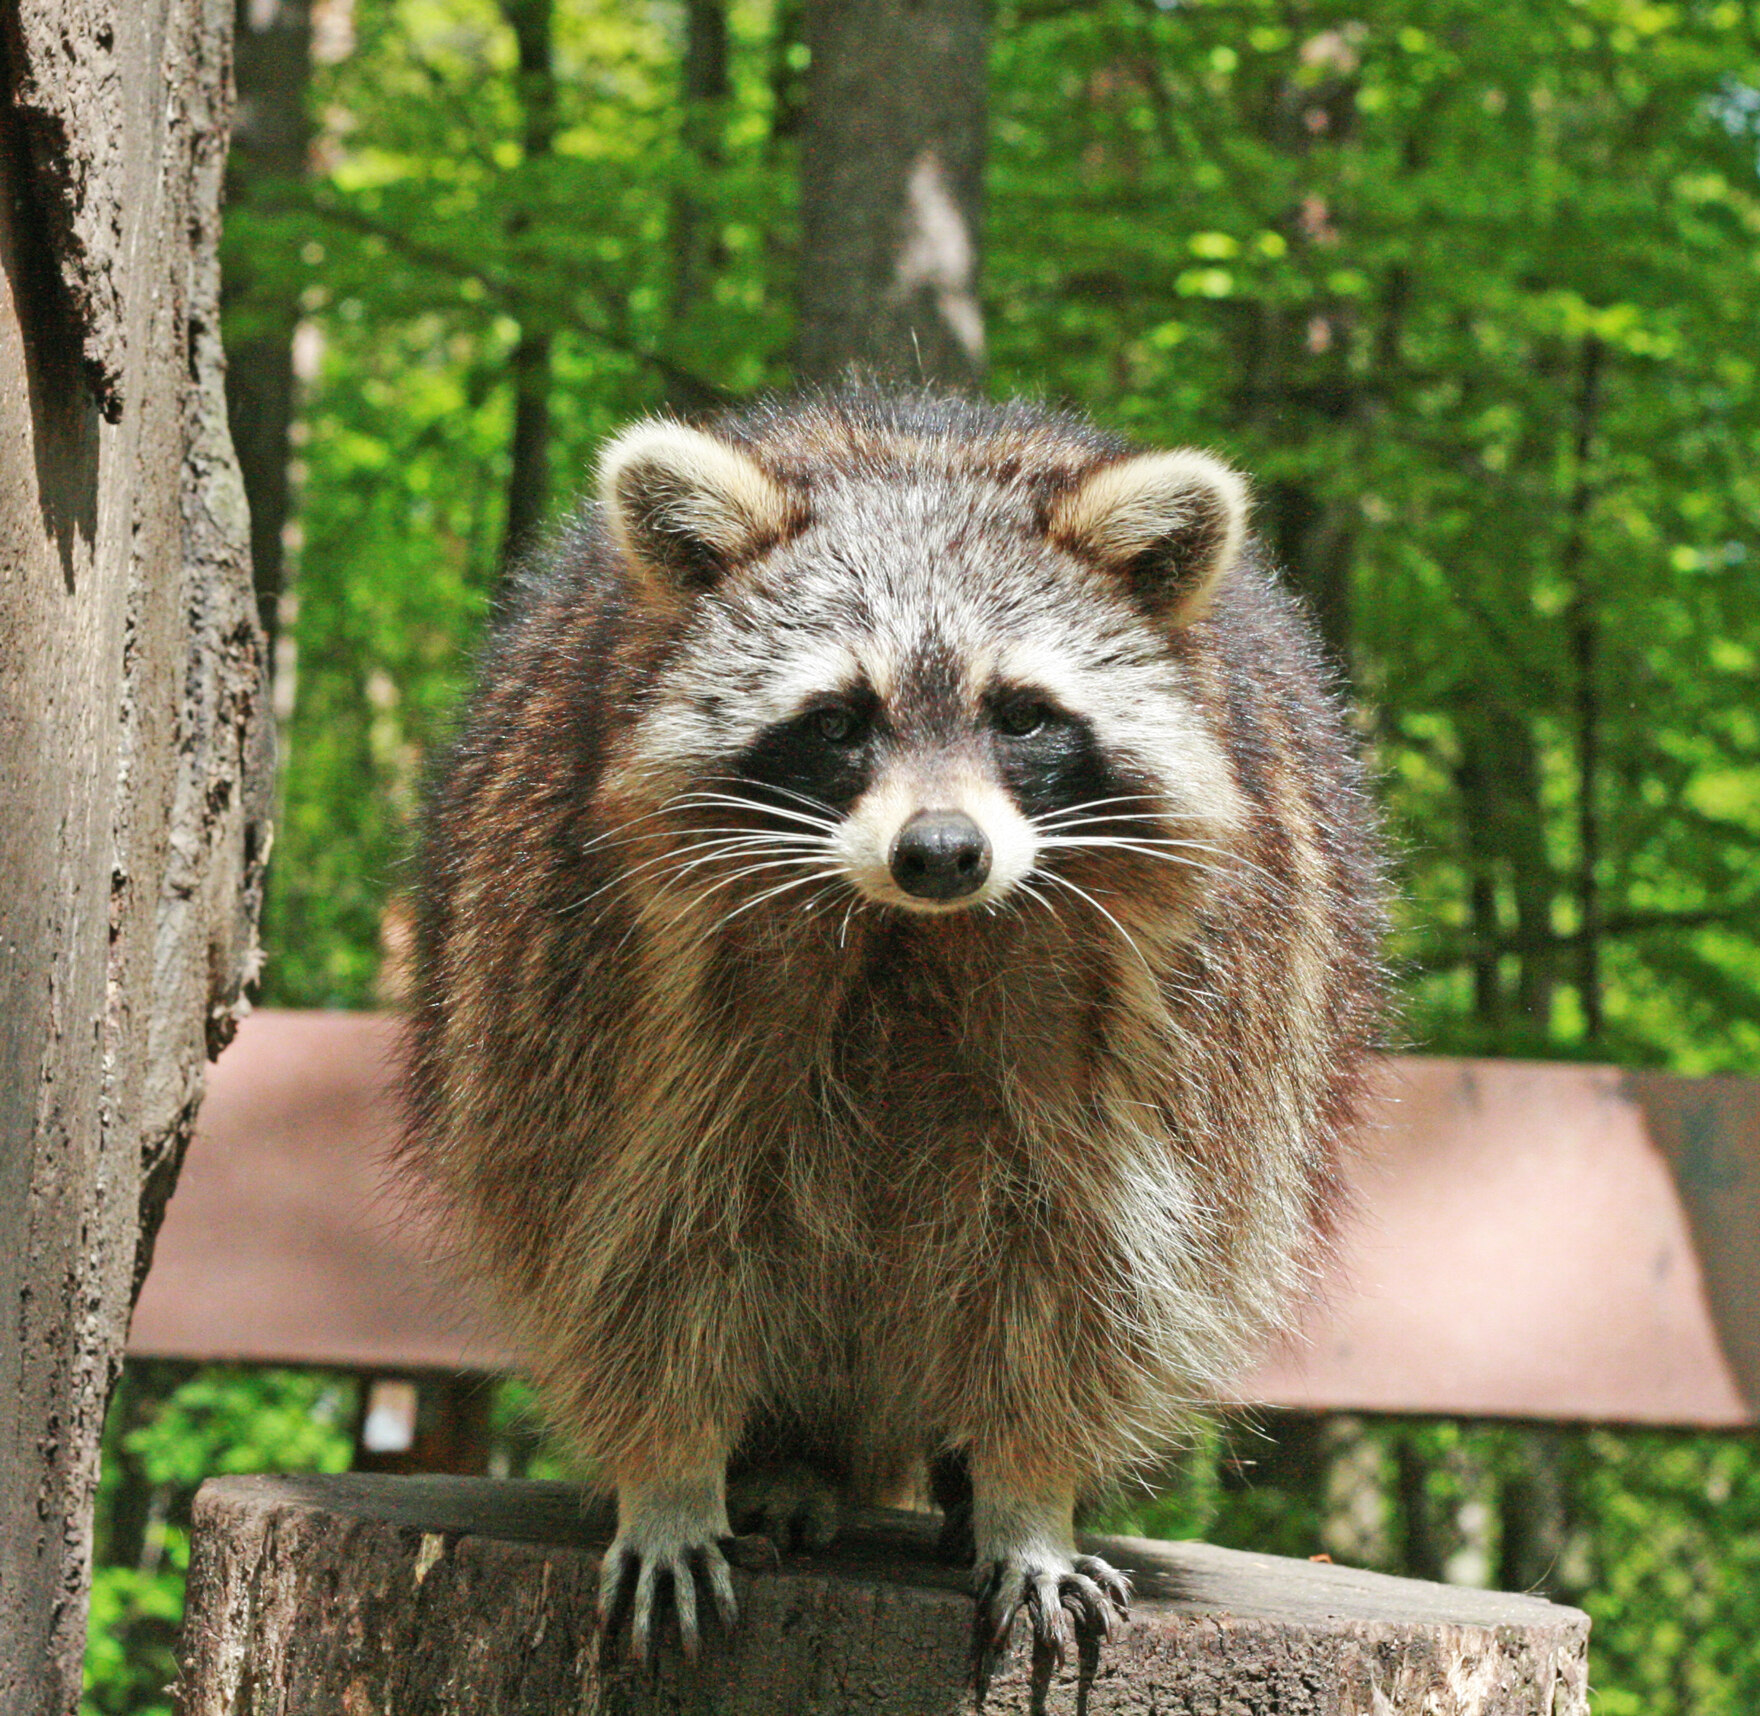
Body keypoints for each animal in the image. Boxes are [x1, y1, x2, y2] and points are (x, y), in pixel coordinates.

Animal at [404, 385, 1379, 1675]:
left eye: (1020, 717)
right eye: (837, 721)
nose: (941, 853)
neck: (909, 937)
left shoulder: (1166, 1015)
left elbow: (1088, 1261)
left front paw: (1028, 1494)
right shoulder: (602, 996)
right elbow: (630, 1237)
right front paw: (670, 1472)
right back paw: (785, 1463)